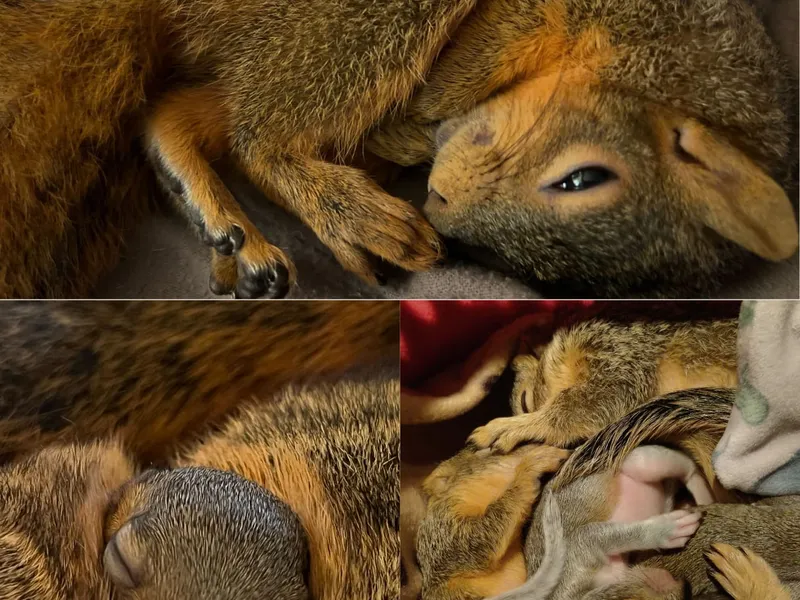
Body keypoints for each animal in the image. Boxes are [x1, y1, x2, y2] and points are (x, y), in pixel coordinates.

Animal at [3, 1, 795, 299]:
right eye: (580, 178)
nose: (440, 200)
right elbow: (479, 51)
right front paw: (416, 121)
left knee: (184, 113)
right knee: (258, 135)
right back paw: (347, 206)